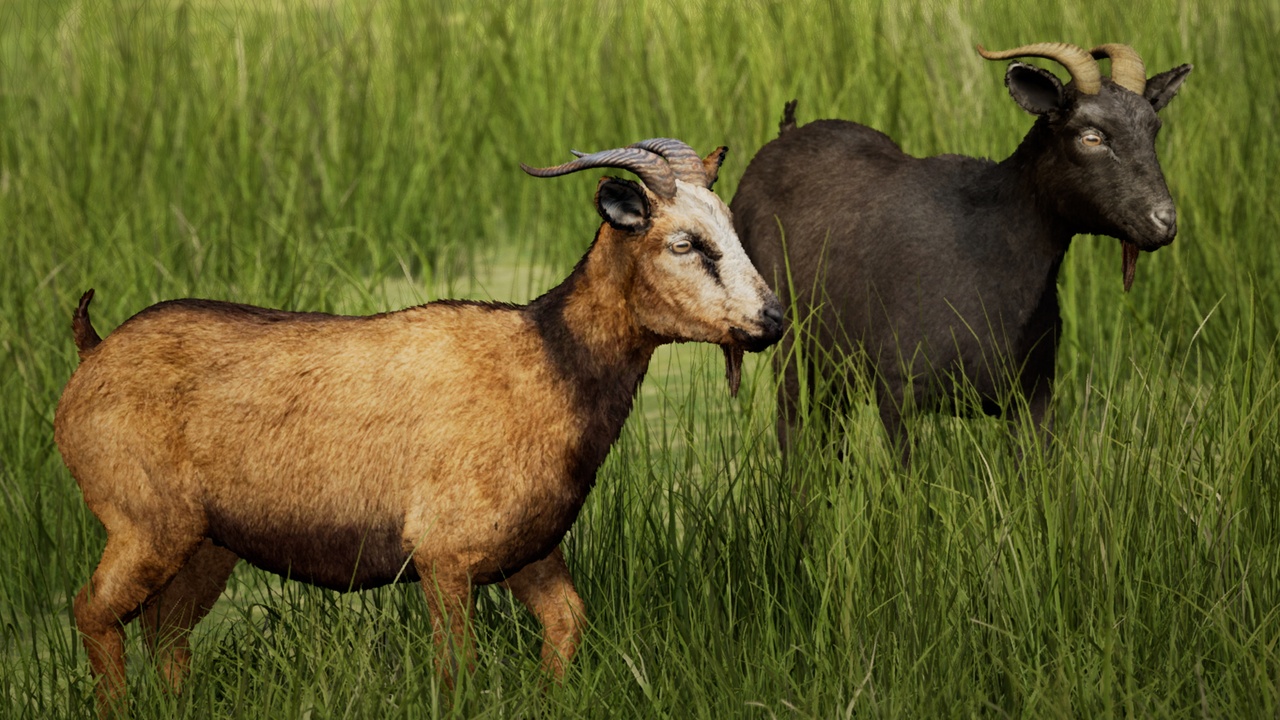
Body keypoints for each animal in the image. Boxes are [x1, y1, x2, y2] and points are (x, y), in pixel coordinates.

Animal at [54, 138, 785, 713]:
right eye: (684, 242)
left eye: (731, 226)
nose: (772, 319)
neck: (542, 364)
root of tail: (92, 350)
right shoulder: (443, 557)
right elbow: (457, 673)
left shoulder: (530, 552)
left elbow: (568, 624)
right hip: (145, 524)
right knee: (93, 610)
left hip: (207, 545)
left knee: (165, 633)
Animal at [730, 43, 1192, 464]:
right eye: (1091, 136)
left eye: (1154, 129)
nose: (1163, 221)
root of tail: (786, 133)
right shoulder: (898, 389)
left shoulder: (1034, 395)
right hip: (795, 346)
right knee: (792, 430)